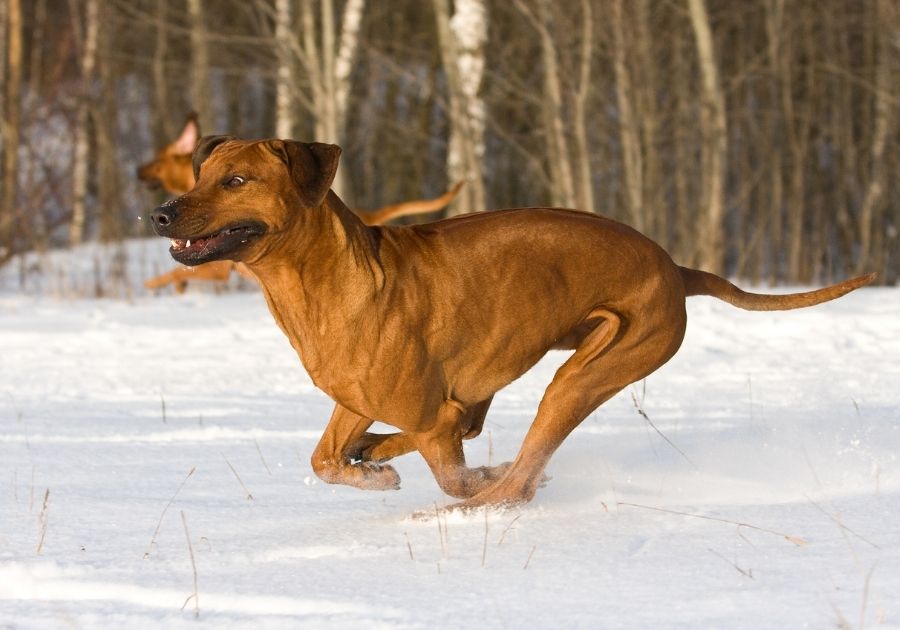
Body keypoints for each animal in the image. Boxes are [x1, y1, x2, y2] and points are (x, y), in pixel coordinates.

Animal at [151, 136, 876, 512]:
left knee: (521, 475)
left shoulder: (426, 411)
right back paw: (391, 455)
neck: (322, 278)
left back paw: (474, 496)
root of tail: (676, 268)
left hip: (591, 369)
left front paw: (453, 482)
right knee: (474, 434)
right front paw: (368, 467)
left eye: (236, 181)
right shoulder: (355, 398)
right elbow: (325, 457)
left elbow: (450, 466)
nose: (160, 213)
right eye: (201, 173)